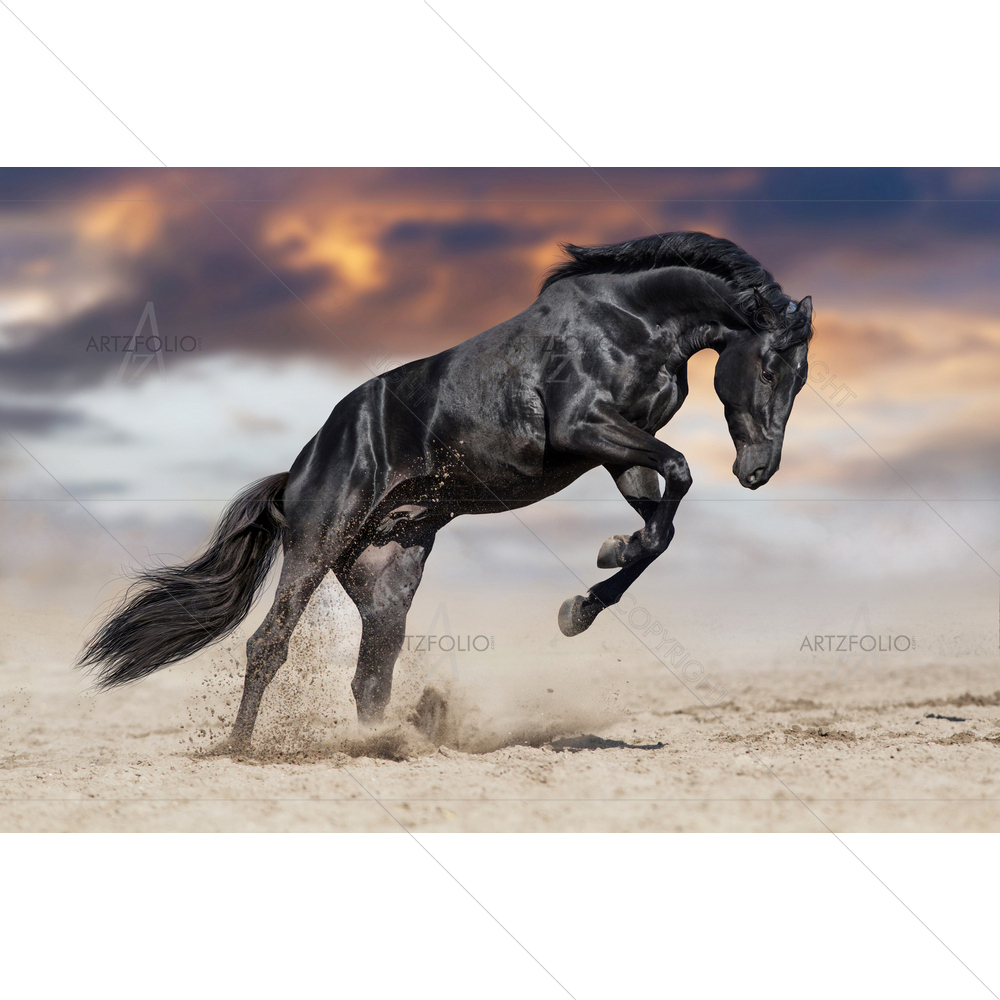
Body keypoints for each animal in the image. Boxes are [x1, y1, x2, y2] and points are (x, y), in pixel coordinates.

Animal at [79, 231, 813, 752]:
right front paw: (595, 580)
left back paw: (388, 741)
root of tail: (299, 469)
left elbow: (661, 526)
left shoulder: (618, 452)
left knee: (371, 674)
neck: (628, 323)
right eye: (770, 367)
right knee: (269, 646)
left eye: (802, 377)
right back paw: (238, 748)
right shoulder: (587, 428)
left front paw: (586, 595)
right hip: (316, 547)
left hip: (389, 574)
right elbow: (680, 475)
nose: (759, 470)